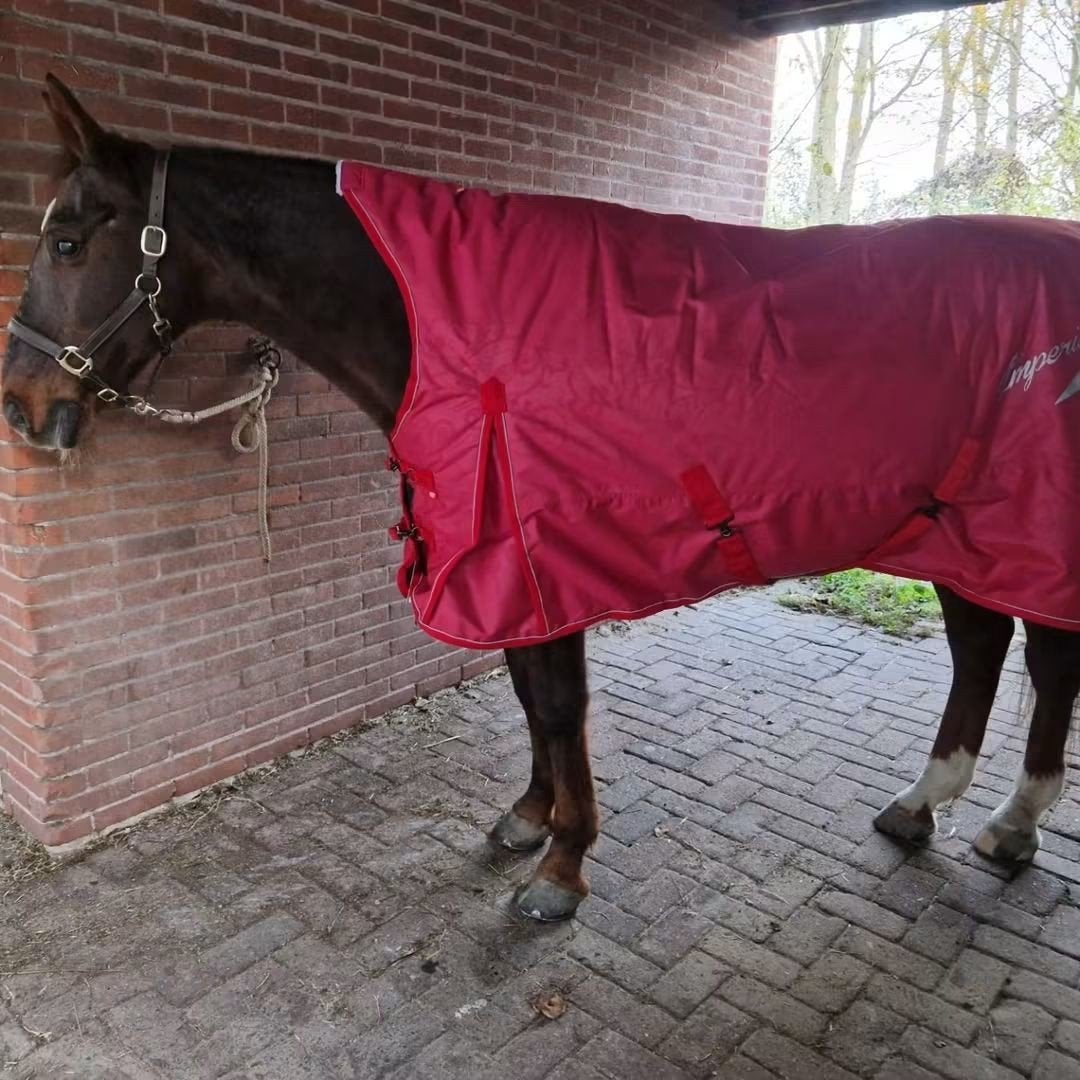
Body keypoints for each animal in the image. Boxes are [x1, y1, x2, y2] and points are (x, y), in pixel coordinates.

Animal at [4, 76, 1079, 923]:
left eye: (67, 242)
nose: (22, 405)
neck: (452, 326)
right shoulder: (505, 570)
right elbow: (526, 690)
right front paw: (530, 819)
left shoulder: (542, 556)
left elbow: (558, 703)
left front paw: (564, 865)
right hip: (953, 530)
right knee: (984, 643)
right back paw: (924, 805)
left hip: (1017, 530)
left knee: (1043, 657)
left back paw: (1012, 825)